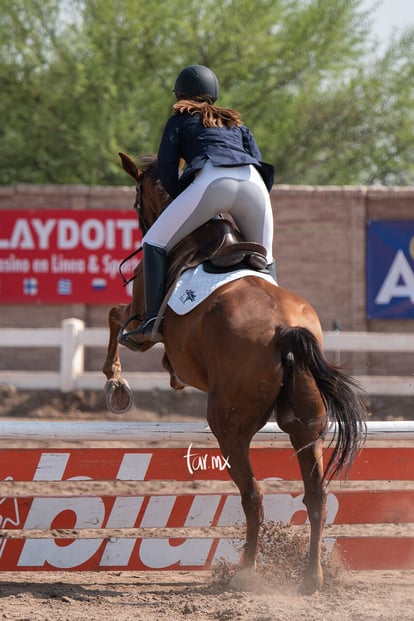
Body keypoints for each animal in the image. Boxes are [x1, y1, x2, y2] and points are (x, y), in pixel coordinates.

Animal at [102, 150, 366, 592]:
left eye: (136, 199)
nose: (141, 224)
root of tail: (285, 329)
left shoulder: (140, 320)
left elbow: (115, 316)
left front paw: (115, 382)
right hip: (305, 425)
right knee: (316, 497)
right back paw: (311, 577)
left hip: (229, 426)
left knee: (253, 495)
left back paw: (245, 572)